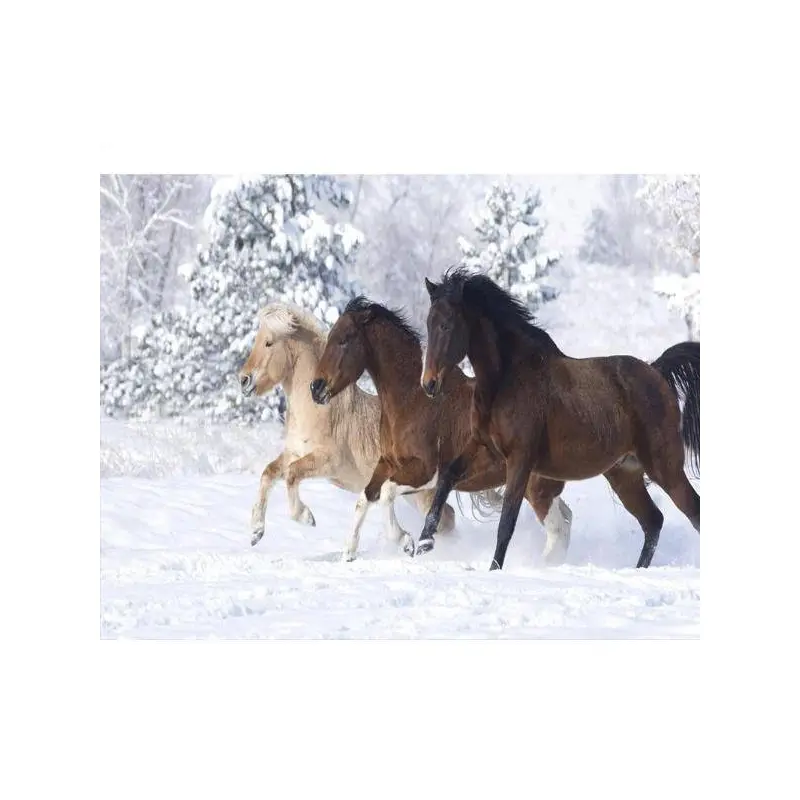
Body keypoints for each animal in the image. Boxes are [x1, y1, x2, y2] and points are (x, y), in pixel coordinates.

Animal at [238, 301, 461, 551]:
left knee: (446, 518)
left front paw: (306, 517)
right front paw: (256, 532)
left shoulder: (328, 462)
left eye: (269, 342)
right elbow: (269, 473)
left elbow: (292, 475)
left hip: (421, 492)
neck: (318, 410)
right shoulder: (293, 453)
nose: (243, 380)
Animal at [309, 296, 572, 562]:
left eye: (344, 339)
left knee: (558, 529)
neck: (412, 399)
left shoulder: (426, 471)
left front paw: (406, 542)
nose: (316, 388)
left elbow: (386, 493)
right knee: (566, 519)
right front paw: (349, 553)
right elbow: (366, 497)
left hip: (536, 488)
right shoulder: (388, 463)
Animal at [417, 266, 700, 571]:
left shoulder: (520, 460)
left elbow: (506, 523)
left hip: (665, 467)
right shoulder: (486, 449)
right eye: (429, 323)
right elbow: (447, 476)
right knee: (653, 521)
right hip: (625, 474)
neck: (506, 379)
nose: (429, 384)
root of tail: (656, 371)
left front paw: (493, 570)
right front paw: (423, 543)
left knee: (692, 511)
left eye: (446, 325)